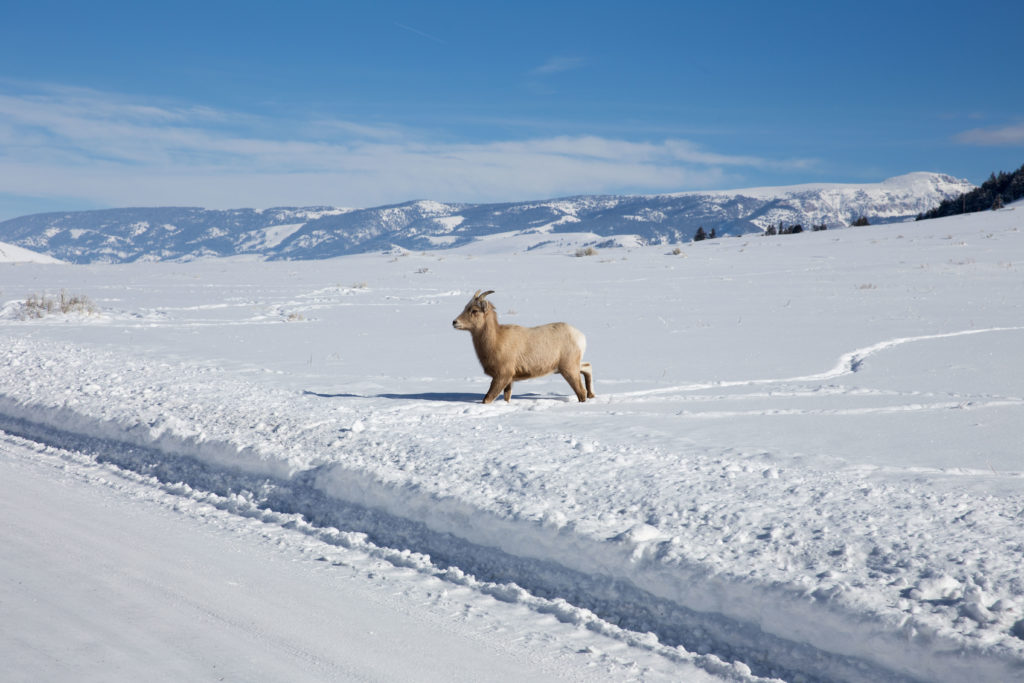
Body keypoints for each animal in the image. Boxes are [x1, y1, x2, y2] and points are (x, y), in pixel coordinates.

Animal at [452, 290, 598, 403]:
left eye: (474, 310)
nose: (454, 322)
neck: (496, 340)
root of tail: (580, 336)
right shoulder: (509, 380)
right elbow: (507, 398)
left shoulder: (502, 376)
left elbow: (487, 399)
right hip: (569, 366)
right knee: (588, 367)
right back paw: (592, 395)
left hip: (569, 369)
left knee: (581, 392)